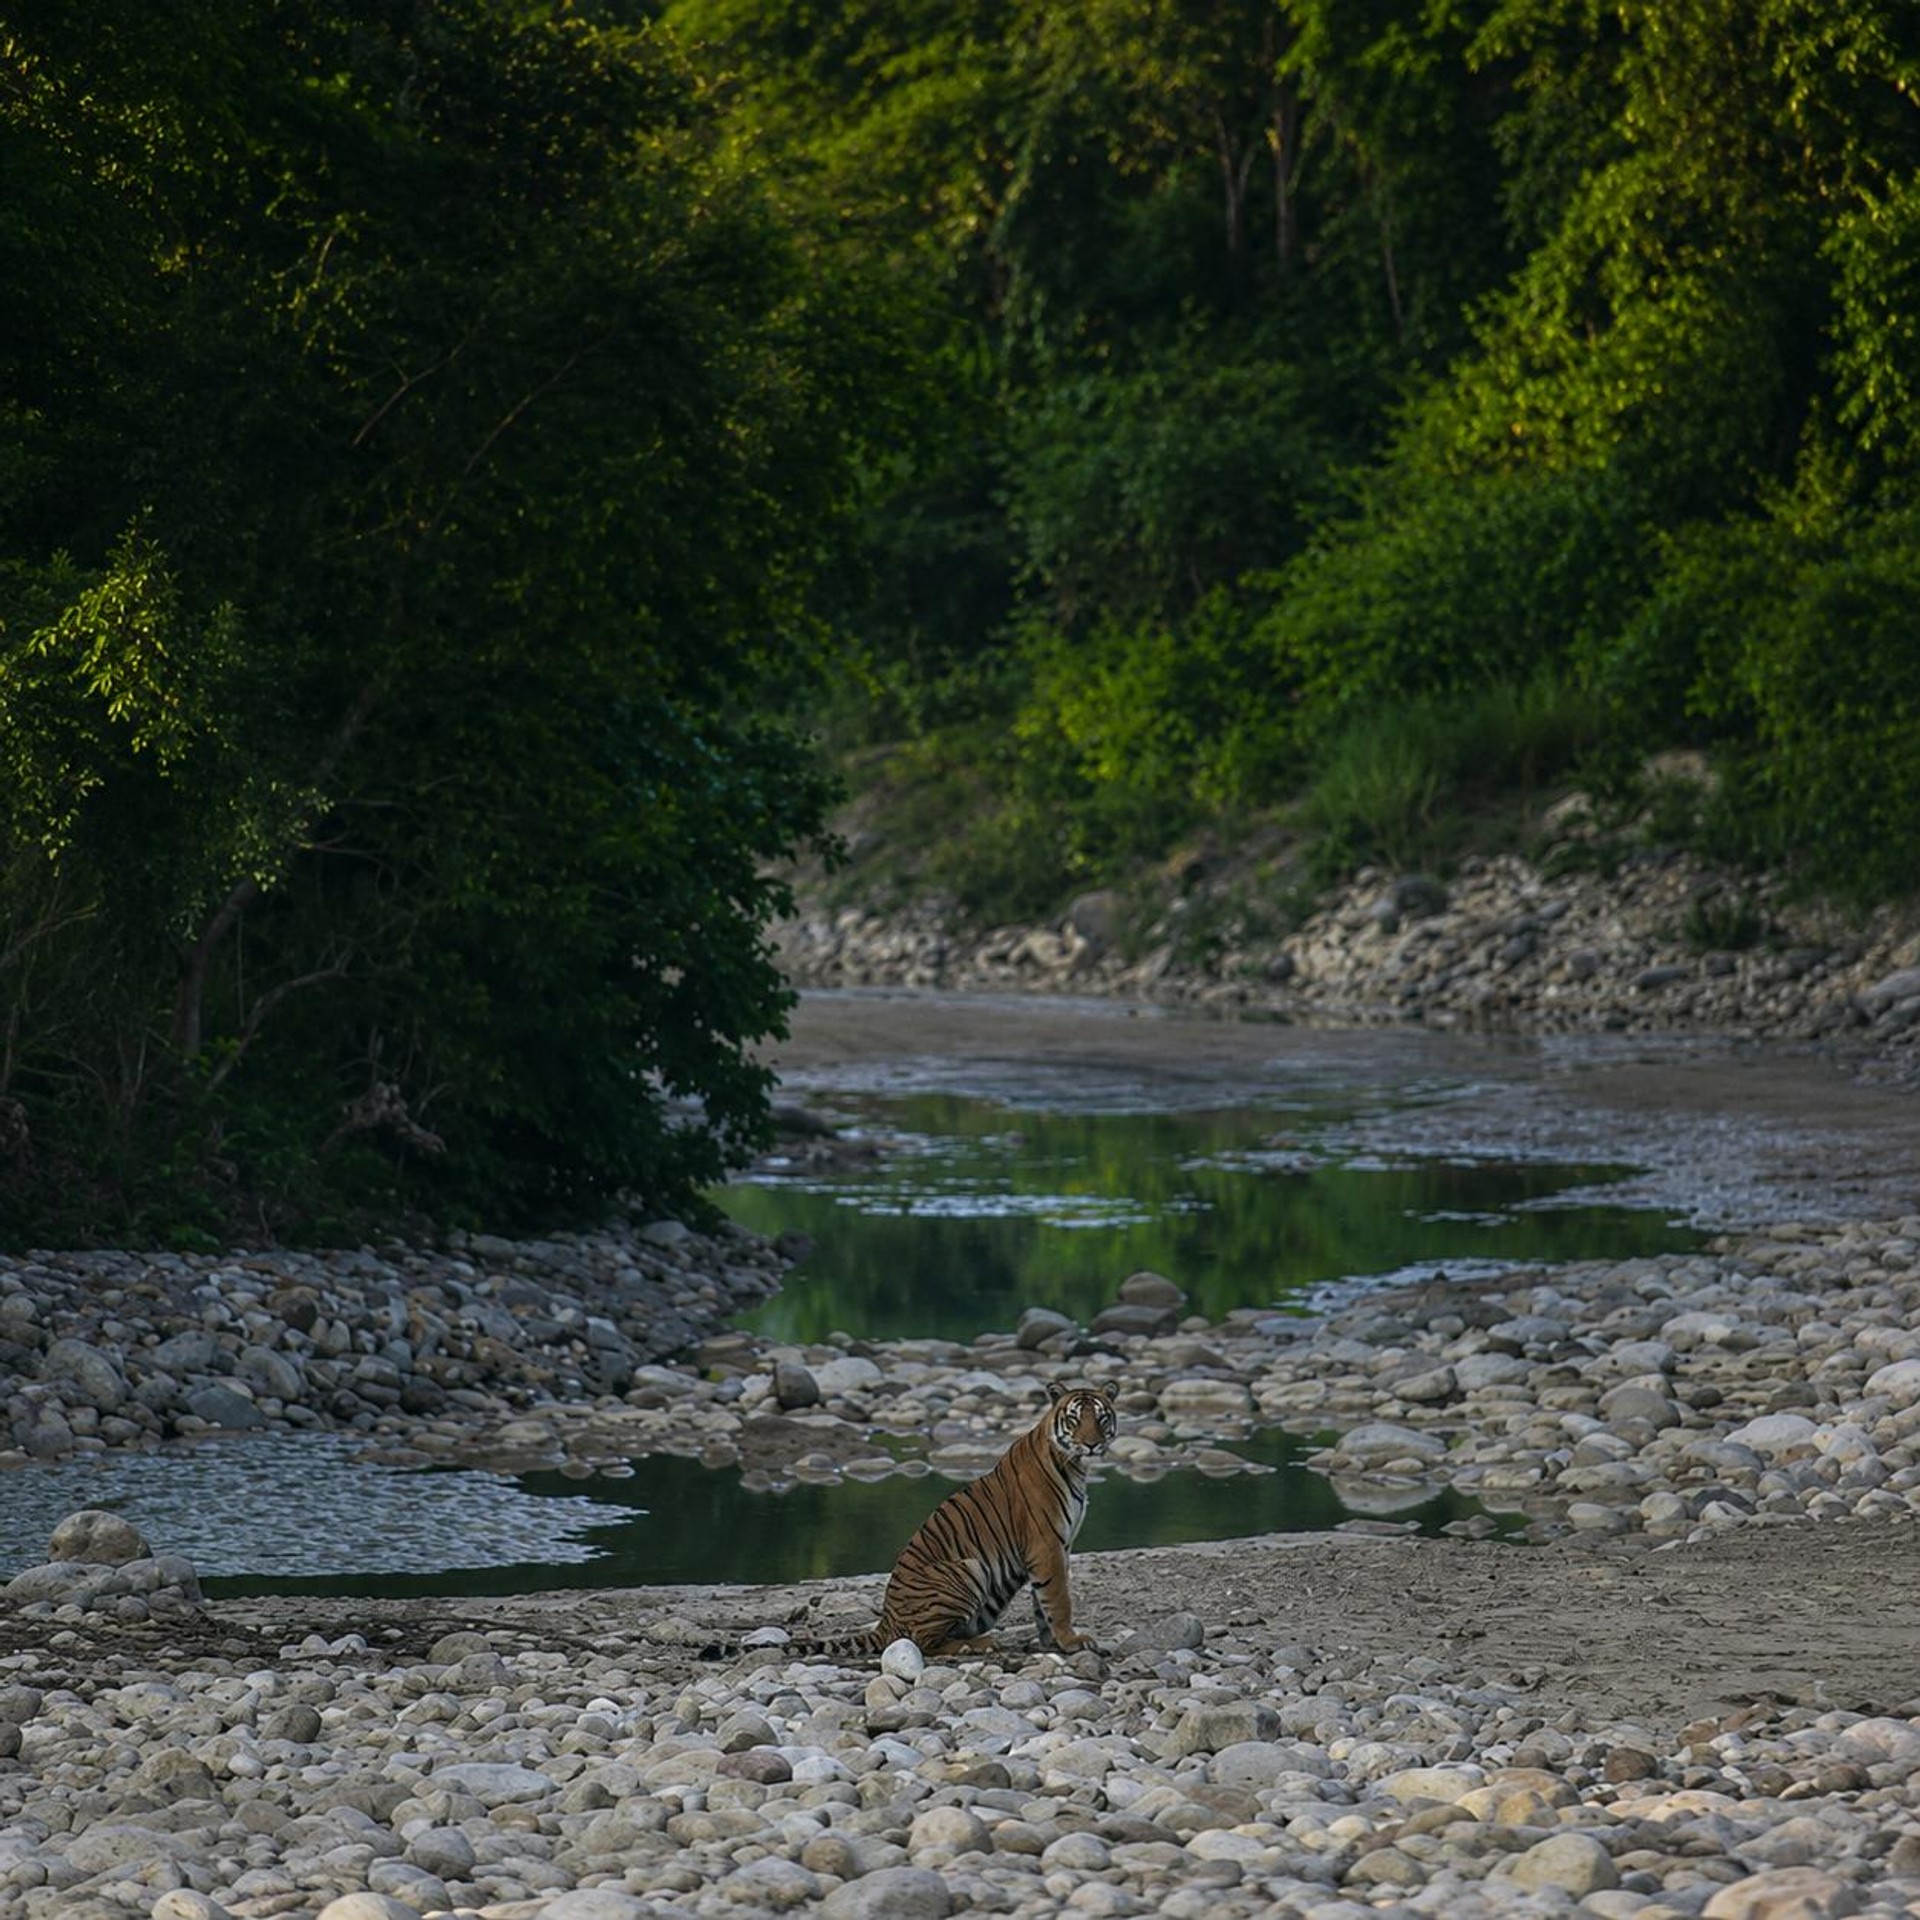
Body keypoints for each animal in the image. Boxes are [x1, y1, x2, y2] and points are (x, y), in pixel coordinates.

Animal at [725, 1379, 1120, 1661]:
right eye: (1075, 1419)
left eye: (1101, 1418)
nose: (1091, 1444)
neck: (1075, 1466)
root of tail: (886, 1620)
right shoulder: (1046, 1545)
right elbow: (1058, 1598)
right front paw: (1072, 1641)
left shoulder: (1059, 1547)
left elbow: (1043, 1603)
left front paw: (1052, 1643)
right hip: (966, 1569)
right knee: (922, 1641)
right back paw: (977, 1644)